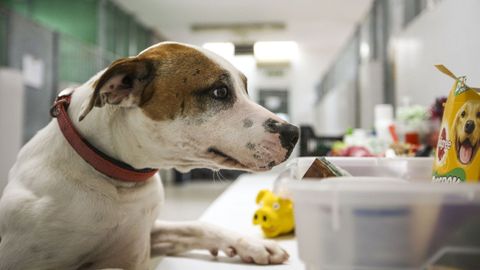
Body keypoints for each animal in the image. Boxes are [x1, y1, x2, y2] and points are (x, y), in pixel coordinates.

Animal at [0, 42, 298, 270]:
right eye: (220, 92)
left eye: (245, 89)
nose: (293, 133)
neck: (117, 181)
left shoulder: (146, 234)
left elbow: (196, 226)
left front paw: (254, 245)